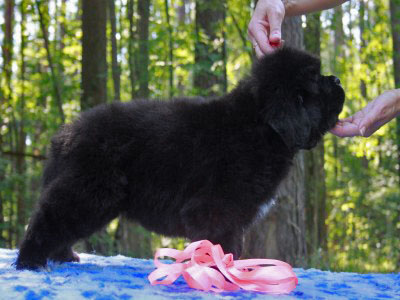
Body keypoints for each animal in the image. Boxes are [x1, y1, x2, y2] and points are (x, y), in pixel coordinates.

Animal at [16, 48, 344, 270]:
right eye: (317, 83)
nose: (339, 80)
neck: (259, 127)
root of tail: (64, 135)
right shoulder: (215, 208)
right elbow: (219, 243)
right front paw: (219, 275)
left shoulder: (233, 215)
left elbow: (231, 245)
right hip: (89, 190)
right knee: (49, 218)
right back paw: (31, 262)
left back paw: (63, 256)